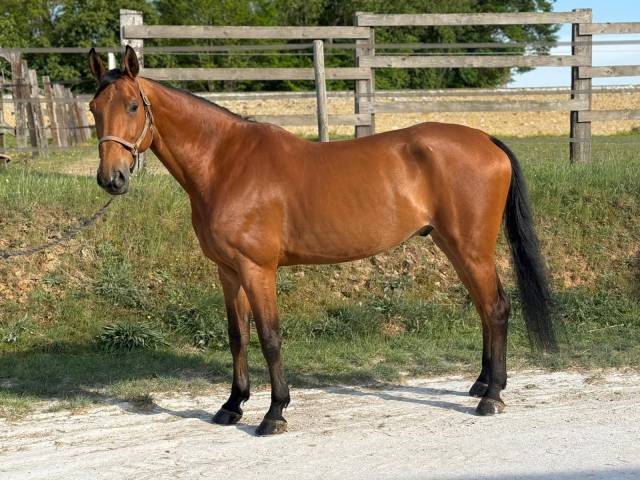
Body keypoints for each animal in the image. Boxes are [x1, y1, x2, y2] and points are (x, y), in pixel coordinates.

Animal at [88, 46, 555, 436]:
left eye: (133, 105)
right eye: (94, 108)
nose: (112, 179)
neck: (226, 163)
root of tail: (485, 139)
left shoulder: (257, 270)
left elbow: (270, 337)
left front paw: (274, 414)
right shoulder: (228, 271)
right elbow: (238, 336)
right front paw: (232, 405)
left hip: (471, 249)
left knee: (496, 308)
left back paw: (492, 396)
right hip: (453, 247)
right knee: (484, 309)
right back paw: (481, 384)